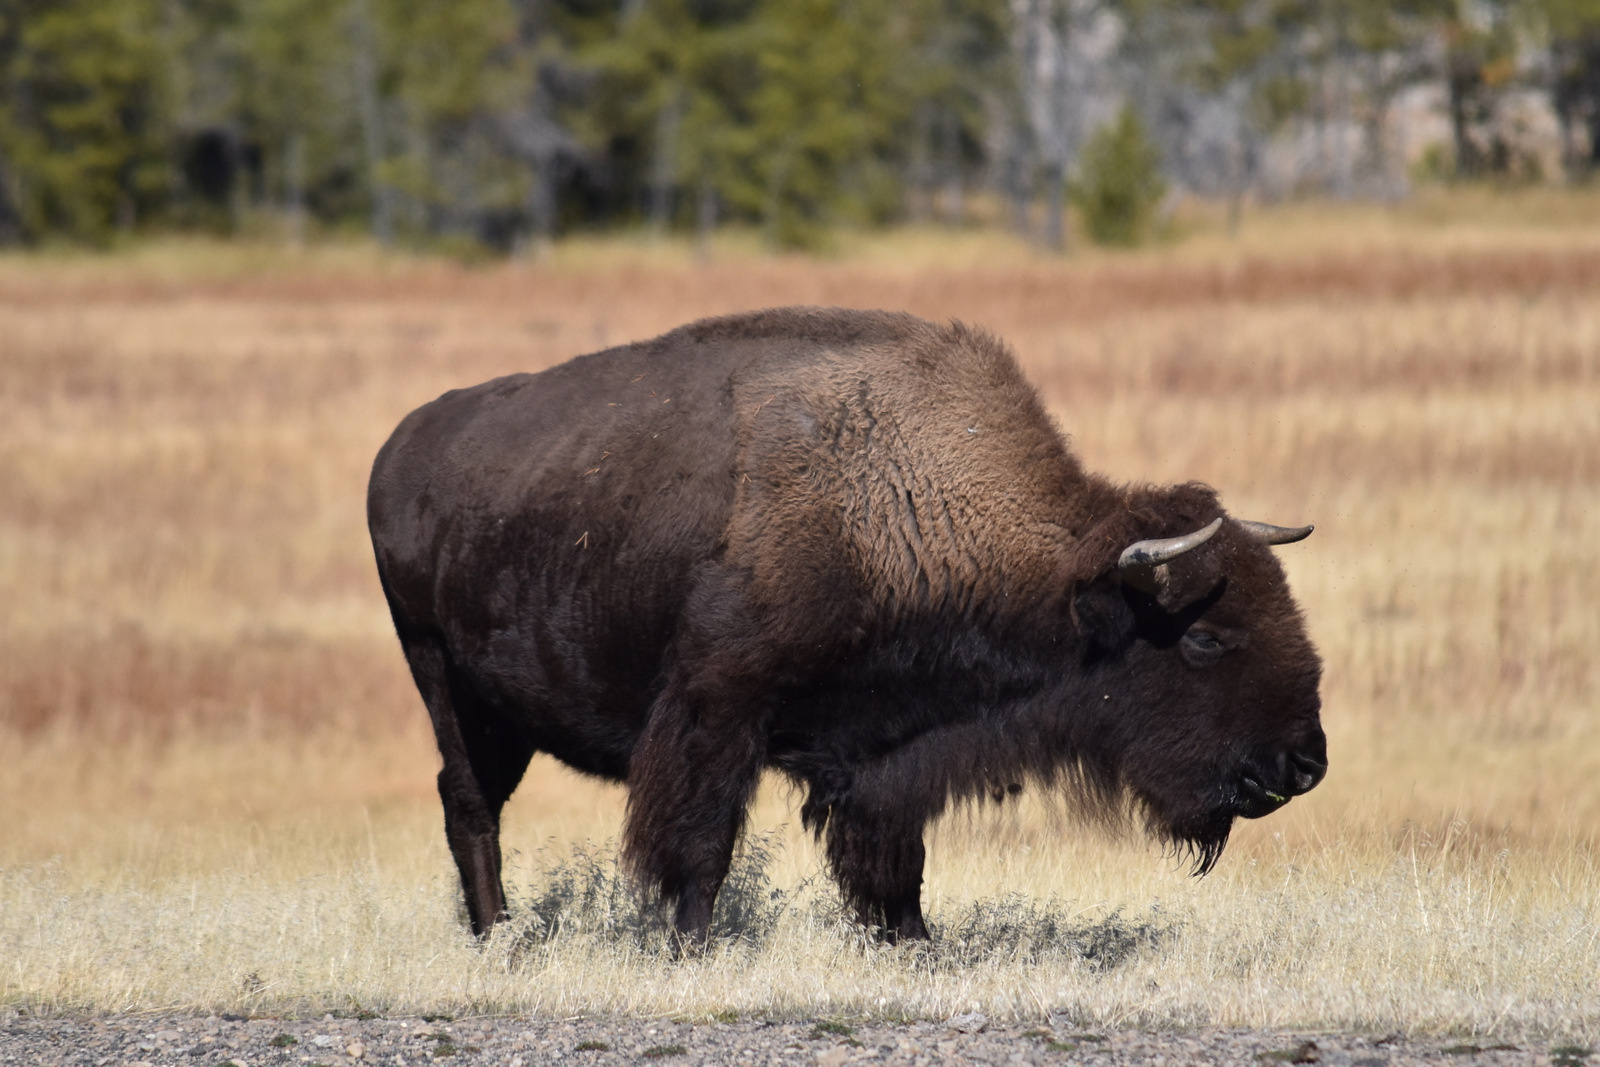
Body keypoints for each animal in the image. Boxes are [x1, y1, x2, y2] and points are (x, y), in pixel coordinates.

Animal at [371, 307, 1324, 940]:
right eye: (1204, 635)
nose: (1305, 762)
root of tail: (401, 444)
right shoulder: (719, 708)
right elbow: (701, 841)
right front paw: (691, 945)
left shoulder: (888, 756)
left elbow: (894, 859)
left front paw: (913, 939)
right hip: (438, 675)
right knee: (469, 805)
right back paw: (497, 937)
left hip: (499, 711)